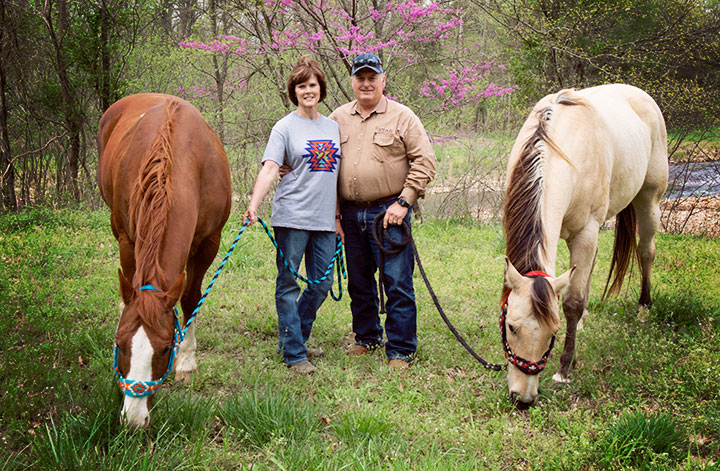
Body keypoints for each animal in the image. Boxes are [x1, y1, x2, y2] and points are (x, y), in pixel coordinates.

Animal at [96, 93, 231, 428]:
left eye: (166, 348)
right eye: (119, 344)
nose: (133, 419)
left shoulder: (209, 242)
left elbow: (191, 298)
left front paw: (187, 362)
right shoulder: (128, 239)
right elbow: (132, 286)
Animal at [500, 84, 668, 406]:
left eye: (552, 332)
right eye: (511, 327)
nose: (523, 398)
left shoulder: (586, 232)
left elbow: (572, 302)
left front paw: (564, 369)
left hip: (649, 199)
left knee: (646, 252)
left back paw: (644, 308)